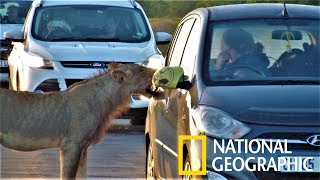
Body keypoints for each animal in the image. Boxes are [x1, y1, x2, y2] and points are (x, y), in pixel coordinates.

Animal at [0, 63, 155, 179]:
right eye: (141, 70)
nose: (157, 71)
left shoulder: (83, 147)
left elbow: (82, 175)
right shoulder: (72, 145)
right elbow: (68, 176)